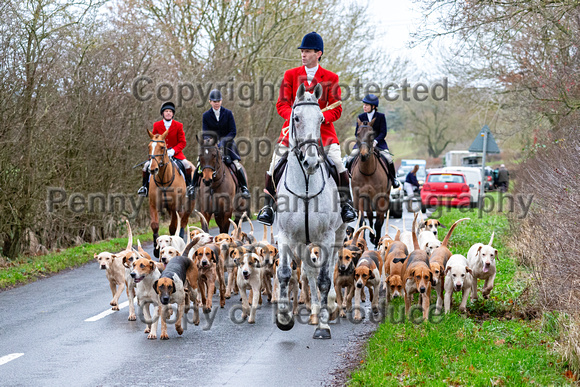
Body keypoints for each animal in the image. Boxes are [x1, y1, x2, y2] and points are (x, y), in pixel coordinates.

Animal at [146, 130, 194, 258]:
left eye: (162, 147)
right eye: (149, 146)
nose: (153, 169)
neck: (164, 179)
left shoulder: (174, 207)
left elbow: (172, 227)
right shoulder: (153, 205)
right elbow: (155, 225)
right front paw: (156, 250)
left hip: (188, 205)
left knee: (183, 221)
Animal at [276, 84, 346, 340]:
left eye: (321, 119)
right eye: (296, 118)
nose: (312, 162)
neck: (305, 185)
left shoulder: (326, 236)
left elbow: (325, 279)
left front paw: (323, 326)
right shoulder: (285, 236)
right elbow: (285, 273)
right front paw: (284, 318)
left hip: (338, 234)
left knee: (330, 265)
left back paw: (330, 306)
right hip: (302, 242)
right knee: (308, 270)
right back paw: (315, 307)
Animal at [348, 118, 390, 247]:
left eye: (372, 136)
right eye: (357, 134)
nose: (363, 155)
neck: (368, 171)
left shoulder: (380, 197)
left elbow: (379, 222)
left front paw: (377, 241)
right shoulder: (360, 196)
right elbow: (362, 220)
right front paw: (363, 240)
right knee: (370, 215)